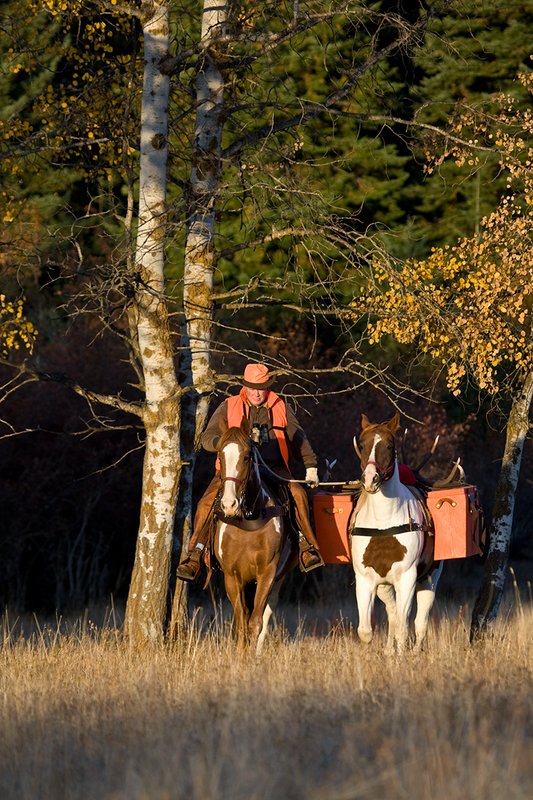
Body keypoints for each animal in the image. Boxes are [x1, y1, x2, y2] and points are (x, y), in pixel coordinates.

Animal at [214, 418, 298, 654]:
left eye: (246, 456)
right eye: (220, 456)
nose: (229, 504)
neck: (248, 520)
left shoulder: (267, 573)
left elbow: (255, 622)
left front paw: (251, 656)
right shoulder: (231, 576)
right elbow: (242, 622)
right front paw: (240, 655)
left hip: (278, 579)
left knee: (266, 614)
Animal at [349, 412, 444, 652]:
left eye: (389, 445)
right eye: (362, 444)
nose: (370, 479)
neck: (383, 523)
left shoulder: (407, 578)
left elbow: (404, 627)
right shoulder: (365, 579)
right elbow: (365, 631)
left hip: (429, 579)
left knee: (419, 622)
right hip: (384, 585)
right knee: (392, 615)